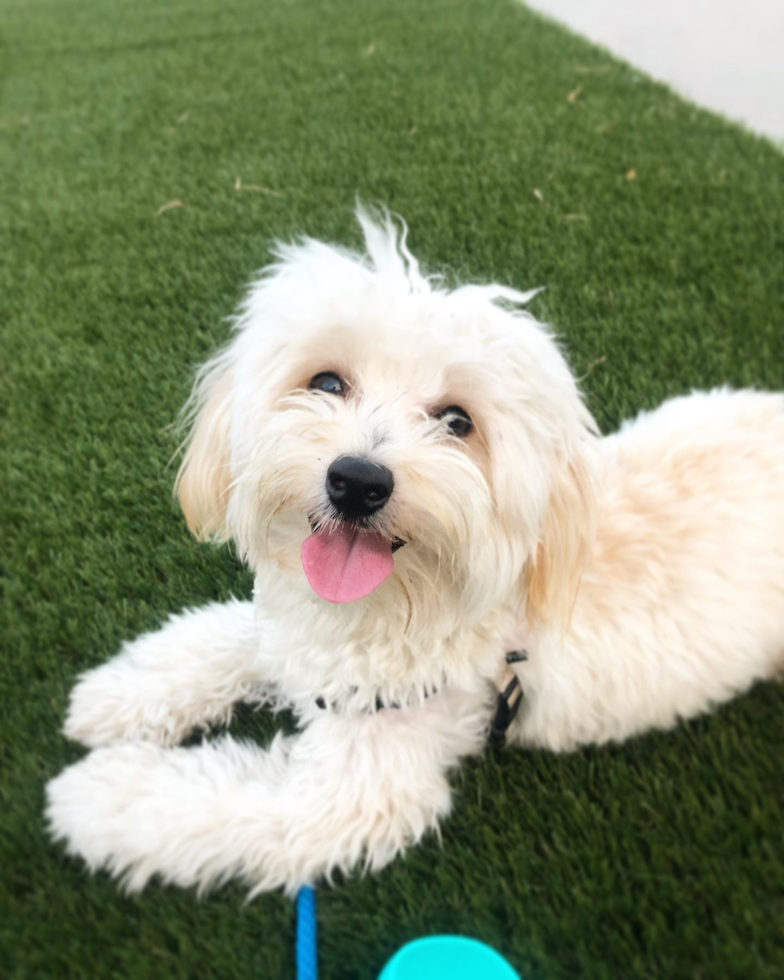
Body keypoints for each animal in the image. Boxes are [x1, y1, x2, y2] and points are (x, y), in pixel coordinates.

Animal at [44, 211, 784, 900]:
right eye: (328, 382)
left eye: (457, 422)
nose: (357, 481)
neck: (383, 611)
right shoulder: (294, 640)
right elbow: (219, 639)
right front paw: (117, 693)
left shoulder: (351, 791)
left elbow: (213, 800)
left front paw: (95, 797)